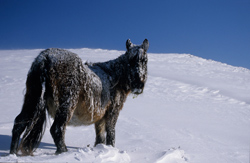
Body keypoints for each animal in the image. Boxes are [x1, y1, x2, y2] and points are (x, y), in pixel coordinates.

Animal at [9, 38, 149, 155]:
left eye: (145, 61)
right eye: (130, 60)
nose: (138, 85)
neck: (115, 76)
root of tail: (45, 57)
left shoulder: (99, 117)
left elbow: (100, 137)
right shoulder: (112, 112)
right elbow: (111, 134)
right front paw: (111, 150)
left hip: (31, 100)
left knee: (19, 124)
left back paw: (13, 153)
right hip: (67, 103)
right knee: (57, 129)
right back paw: (64, 153)